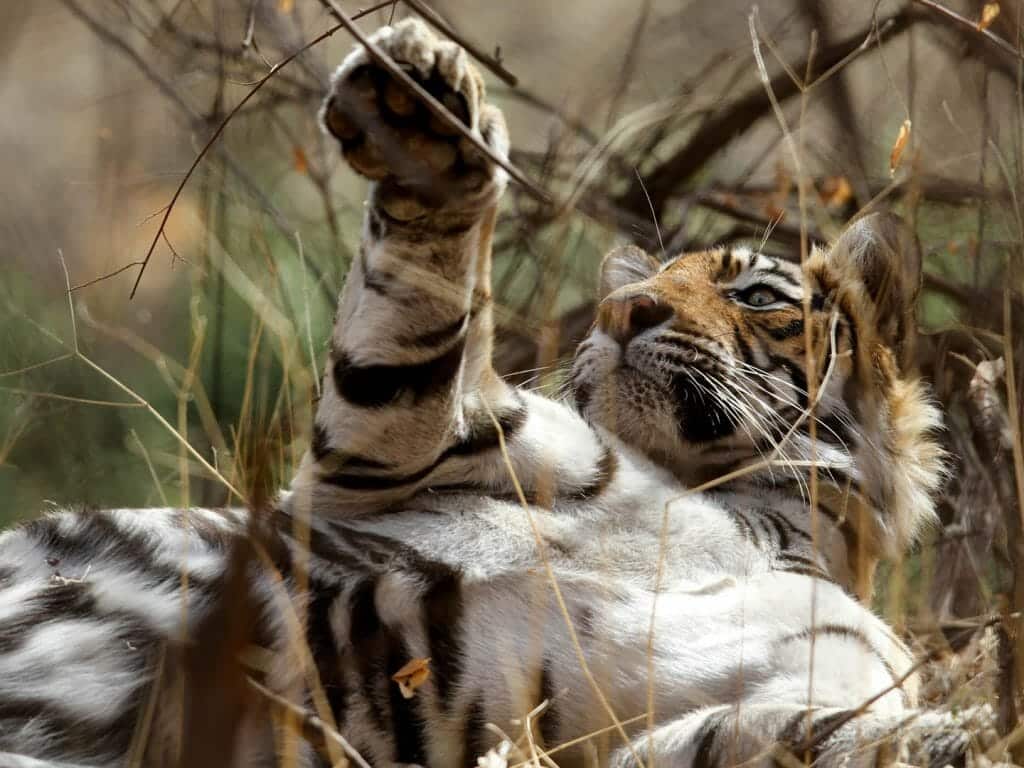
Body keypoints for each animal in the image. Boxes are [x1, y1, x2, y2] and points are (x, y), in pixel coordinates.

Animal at [0, 16, 983, 768]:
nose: (622, 308)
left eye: (754, 295)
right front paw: (420, 121)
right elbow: (421, 300)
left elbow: (808, 729)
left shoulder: (688, 722)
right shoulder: (398, 458)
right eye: (643, 282)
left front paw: (950, 736)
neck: (749, 510)